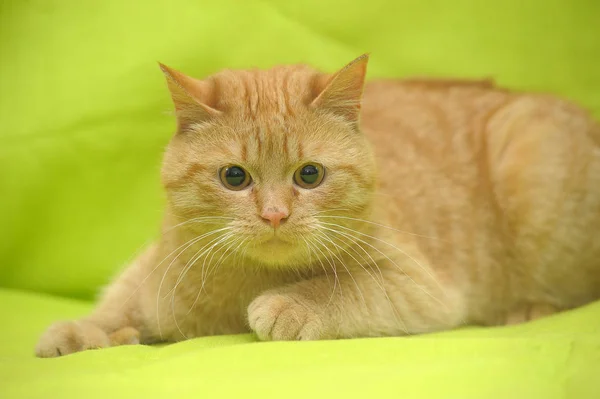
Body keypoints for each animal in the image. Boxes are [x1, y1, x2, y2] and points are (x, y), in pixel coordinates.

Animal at [35, 54, 600, 358]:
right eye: (234, 177)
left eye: (309, 175)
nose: (274, 214)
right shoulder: (156, 269)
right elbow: (119, 302)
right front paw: (82, 330)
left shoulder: (417, 286)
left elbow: (343, 287)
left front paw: (291, 304)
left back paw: (527, 308)